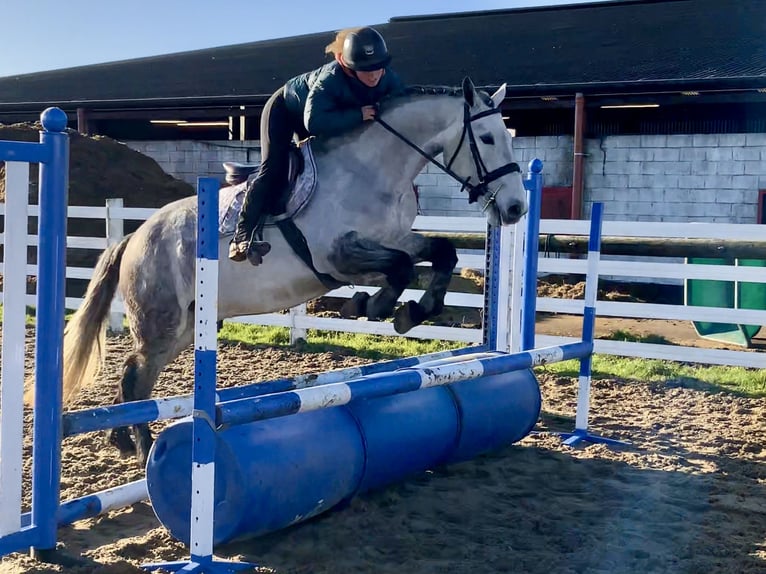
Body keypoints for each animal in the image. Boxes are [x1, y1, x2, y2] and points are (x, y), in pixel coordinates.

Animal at [61, 77, 529, 466]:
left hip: (185, 328)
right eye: (487, 138)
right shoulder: (336, 256)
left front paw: (410, 309)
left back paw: (122, 440)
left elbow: (439, 253)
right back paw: (141, 449)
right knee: (137, 375)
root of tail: (134, 237)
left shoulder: (392, 241)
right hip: (162, 323)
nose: (515, 209)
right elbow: (398, 269)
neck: (374, 171)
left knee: (136, 376)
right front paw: (376, 307)